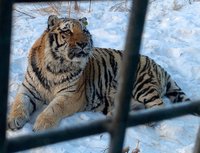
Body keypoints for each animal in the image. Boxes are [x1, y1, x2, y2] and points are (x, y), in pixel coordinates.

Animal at [7, 14, 190, 131]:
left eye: (85, 31)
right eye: (67, 31)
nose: (83, 43)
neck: (54, 66)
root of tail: (159, 66)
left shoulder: (71, 95)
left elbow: (53, 108)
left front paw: (41, 125)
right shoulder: (28, 89)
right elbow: (19, 104)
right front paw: (12, 120)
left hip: (142, 84)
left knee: (159, 106)